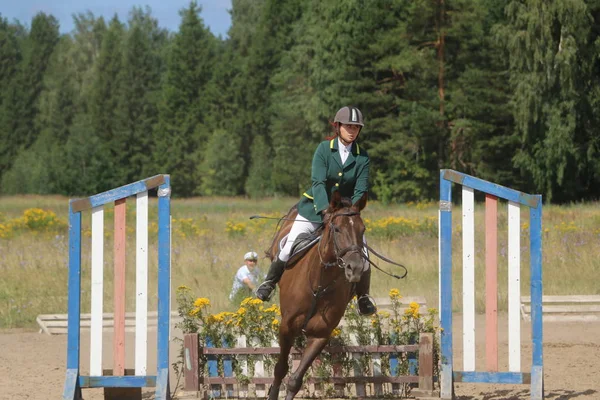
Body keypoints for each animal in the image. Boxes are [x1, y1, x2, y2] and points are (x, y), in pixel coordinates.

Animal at [266, 191, 368, 400]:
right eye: (337, 229)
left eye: (362, 230)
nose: (355, 268)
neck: (319, 281)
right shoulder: (287, 326)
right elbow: (280, 369)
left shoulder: (320, 334)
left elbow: (295, 380)